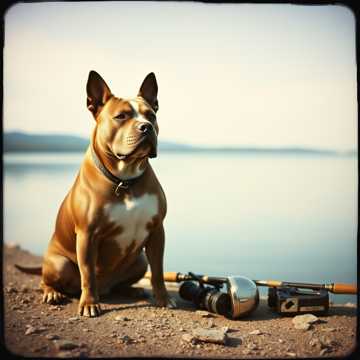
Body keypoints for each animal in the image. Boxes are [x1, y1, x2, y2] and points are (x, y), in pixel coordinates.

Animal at [15, 71, 176, 316]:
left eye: (151, 115)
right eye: (121, 116)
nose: (146, 126)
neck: (124, 180)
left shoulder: (157, 230)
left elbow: (158, 272)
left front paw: (163, 299)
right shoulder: (87, 234)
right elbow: (88, 273)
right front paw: (90, 303)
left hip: (140, 260)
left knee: (126, 279)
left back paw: (132, 290)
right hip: (59, 263)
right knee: (47, 281)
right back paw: (53, 293)